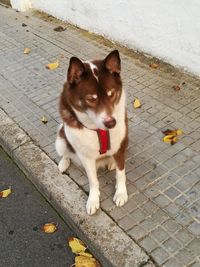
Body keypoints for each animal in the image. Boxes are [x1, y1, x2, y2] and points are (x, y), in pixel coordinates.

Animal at [55, 50, 128, 216]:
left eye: (111, 94)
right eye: (91, 99)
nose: (111, 123)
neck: (99, 130)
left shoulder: (121, 145)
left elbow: (121, 173)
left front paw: (121, 193)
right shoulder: (86, 156)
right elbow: (93, 180)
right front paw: (93, 200)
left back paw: (111, 162)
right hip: (61, 140)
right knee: (66, 152)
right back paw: (63, 163)